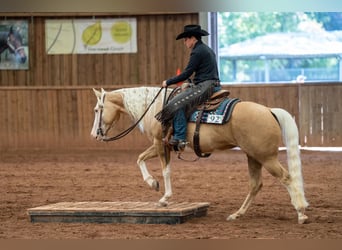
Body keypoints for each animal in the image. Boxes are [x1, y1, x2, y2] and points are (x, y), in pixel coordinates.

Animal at [91, 87, 310, 224]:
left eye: (97, 109)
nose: (94, 134)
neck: (157, 108)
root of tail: (269, 110)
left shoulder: (160, 144)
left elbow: (164, 170)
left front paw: (163, 196)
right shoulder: (160, 146)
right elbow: (140, 159)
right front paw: (154, 184)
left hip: (266, 157)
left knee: (286, 178)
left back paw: (300, 213)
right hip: (253, 156)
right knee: (256, 184)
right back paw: (236, 215)